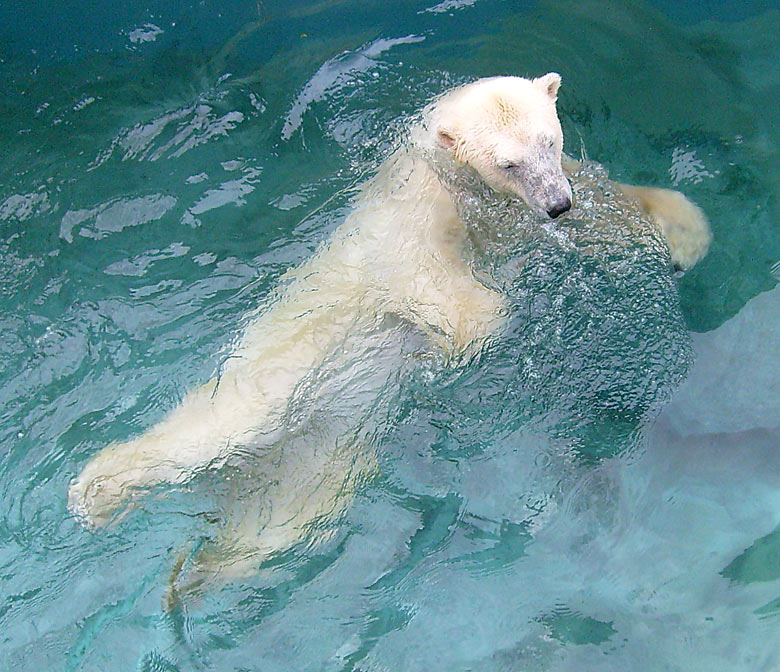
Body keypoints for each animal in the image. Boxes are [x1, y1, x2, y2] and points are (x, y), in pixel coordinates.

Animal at [70, 75, 708, 588]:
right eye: (508, 162)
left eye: (548, 141)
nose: (556, 204)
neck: (461, 188)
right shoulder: (414, 218)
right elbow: (438, 290)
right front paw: (481, 326)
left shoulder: (536, 205)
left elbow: (610, 207)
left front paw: (684, 235)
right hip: (275, 376)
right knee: (207, 431)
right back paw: (95, 495)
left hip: (323, 453)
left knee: (283, 520)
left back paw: (196, 575)